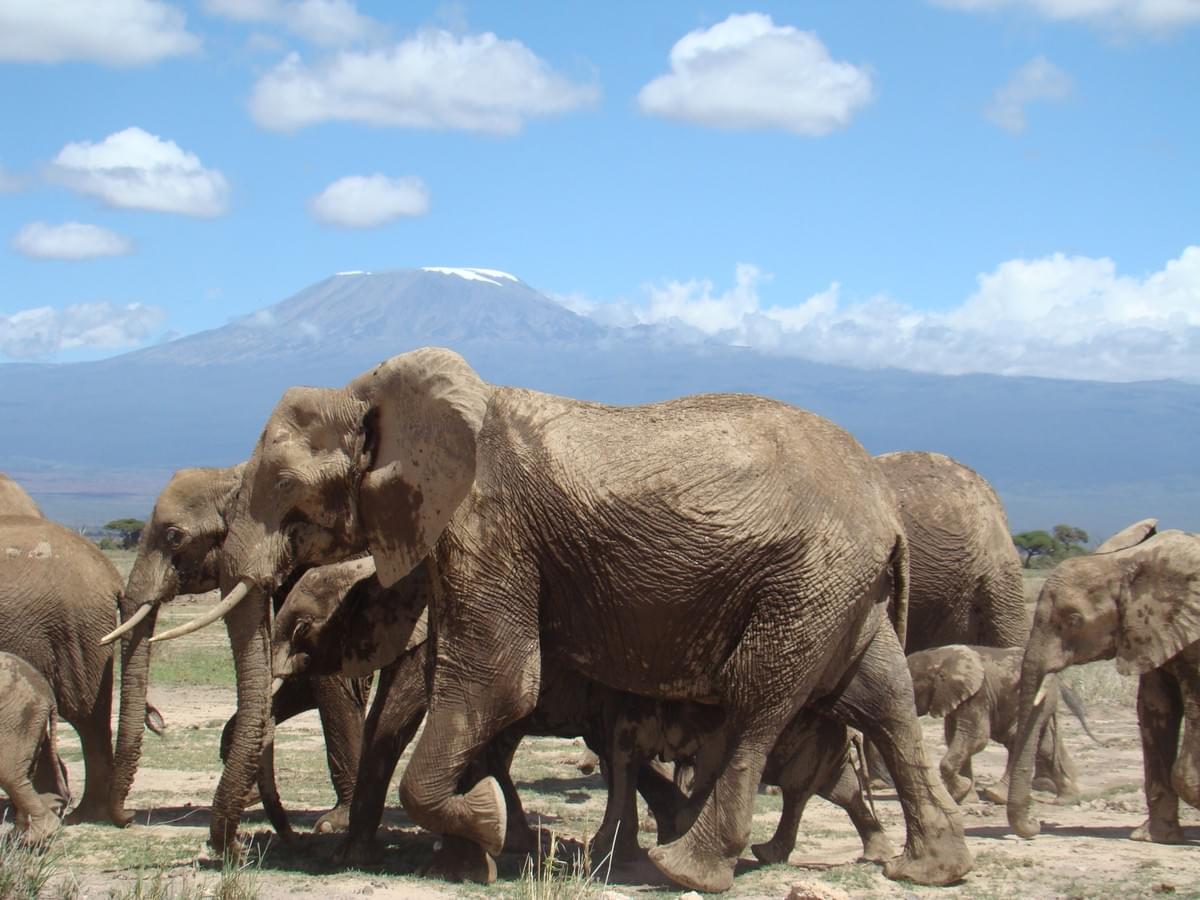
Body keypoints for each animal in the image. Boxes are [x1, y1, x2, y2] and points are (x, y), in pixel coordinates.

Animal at [0, 651, 70, 844]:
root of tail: (49, 694)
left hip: (18, 714)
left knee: (9, 774)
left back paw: (32, 836)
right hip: (30, 722)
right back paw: (18, 836)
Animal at [106, 465, 370, 834]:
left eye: (174, 536)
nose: (128, 818)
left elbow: (332, 682)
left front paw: (335, 822)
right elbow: (297, 681)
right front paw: (249, 795)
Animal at [155, 346, 971, 892]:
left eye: (286, 486)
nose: (232, 855)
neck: (375, 393)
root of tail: (884, 508)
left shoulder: (488, 523)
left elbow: (497, 680)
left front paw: (484, 828)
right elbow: (471, 684)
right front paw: (472, 857)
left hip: (806, 581)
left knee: (759, 701)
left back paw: (686, 868)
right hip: (845, 591)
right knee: (884, 700)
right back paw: (930, 870)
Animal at [907, 644, 1095, 804]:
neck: (939, 656)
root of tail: (1057, 678)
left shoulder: (979, 695)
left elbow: (976, 738)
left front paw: (962, 791)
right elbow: (954, 737)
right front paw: (965, 798)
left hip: (1039, 702)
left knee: (1018, 738)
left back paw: (996, 796)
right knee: (1044, 746)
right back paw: (1067, 799)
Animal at [1006, 527, 1200, 842]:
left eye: (1074, 619)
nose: (1036, 824)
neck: (1124, 564)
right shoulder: (1151, 632)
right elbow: (1154, 710)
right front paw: (1153, 837)